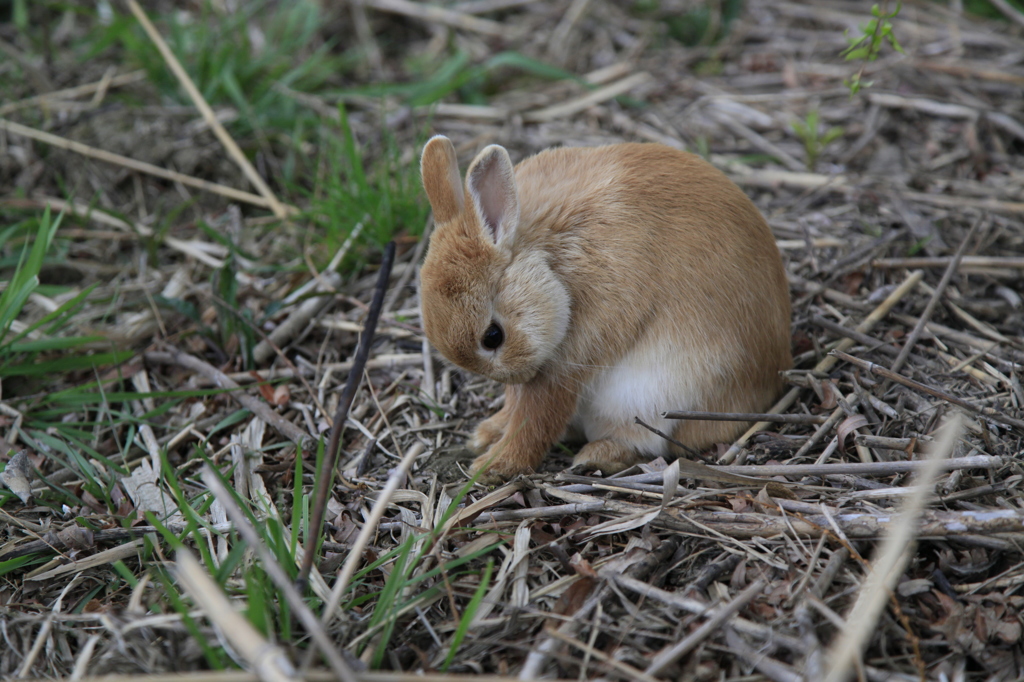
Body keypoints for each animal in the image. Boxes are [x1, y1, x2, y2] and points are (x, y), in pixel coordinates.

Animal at [415, 135, 790, 481]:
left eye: (493, 337)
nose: (518, 376)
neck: (547, 256)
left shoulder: (573, 354)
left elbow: (537, 415)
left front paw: (494, 466)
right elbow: (519, 405)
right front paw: (487, 435)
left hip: (651, 396)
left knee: (644, 441)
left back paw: (596, 456)